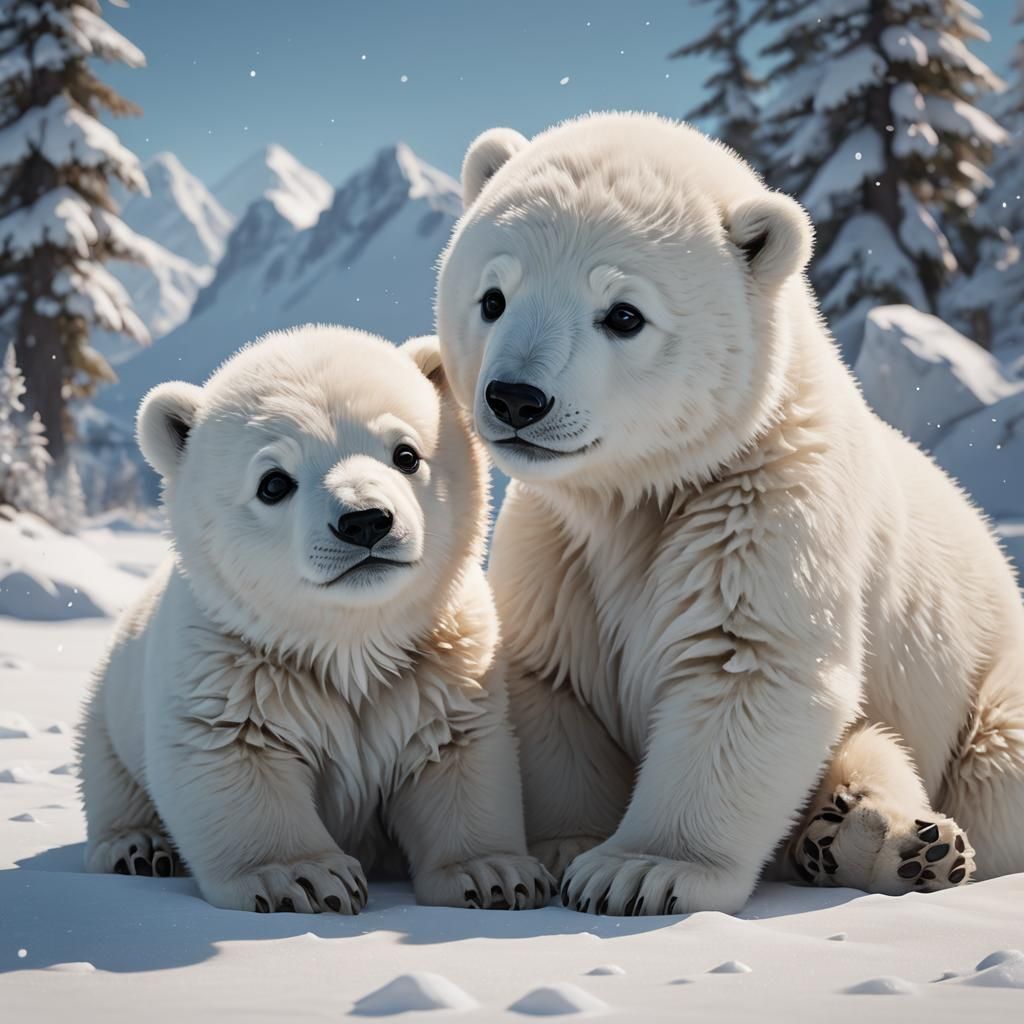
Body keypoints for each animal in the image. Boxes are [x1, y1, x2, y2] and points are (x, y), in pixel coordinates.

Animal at [79, 325, 554, 913]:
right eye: (273, 482)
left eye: (405, 453)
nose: (366, 521)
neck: (347, 642)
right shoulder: (229, 667)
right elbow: (236, 760)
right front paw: (302, 878)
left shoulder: (441, 666)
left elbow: (455, 755)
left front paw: (496, 875)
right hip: (108, 708)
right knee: (107, 777)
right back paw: (136, 848)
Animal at [435, 112, 1024, 915]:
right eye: (492, 297)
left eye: (624, 314)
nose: (516, 399)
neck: (638, 492)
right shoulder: (558, 549)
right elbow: (555, 686)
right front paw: (565, 848)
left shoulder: (766, 504)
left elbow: (743, 666)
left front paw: (640, 871)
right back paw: (865, 838)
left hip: (986, 679)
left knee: (993, 767)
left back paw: (901, 843)